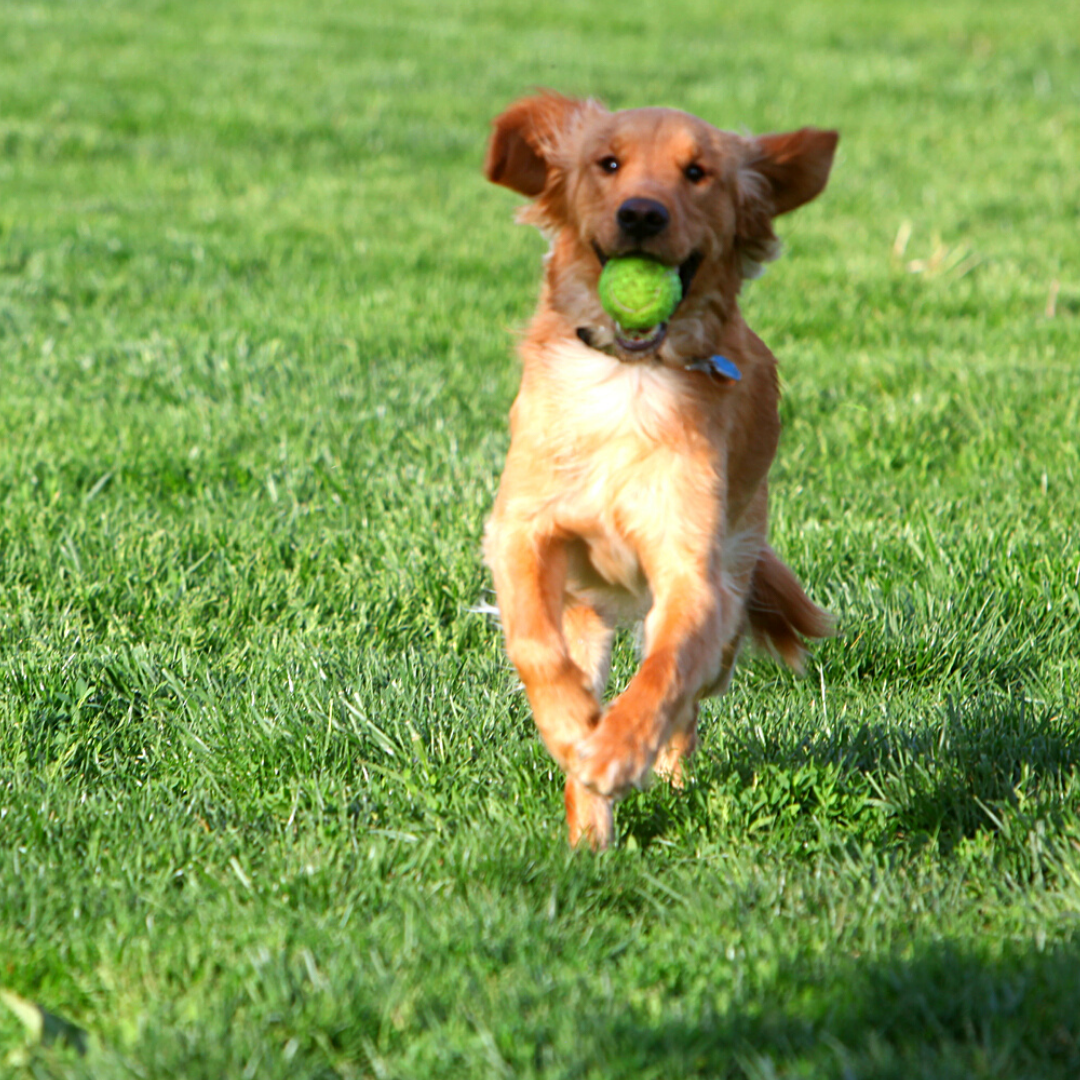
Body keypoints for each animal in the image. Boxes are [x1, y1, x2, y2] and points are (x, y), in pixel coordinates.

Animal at [486, 92, 838, 846]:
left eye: (697, 172)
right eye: (607, 164)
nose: (642, 215)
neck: (628, 383)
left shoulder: (692, 571)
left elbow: (665, 672)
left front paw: (619, 750)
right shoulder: (521, 529)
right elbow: (533, 642)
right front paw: (572, 731)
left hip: (732, 584)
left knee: (691, 697)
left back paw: (660, 770)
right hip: (586, 610)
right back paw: (587, 834)